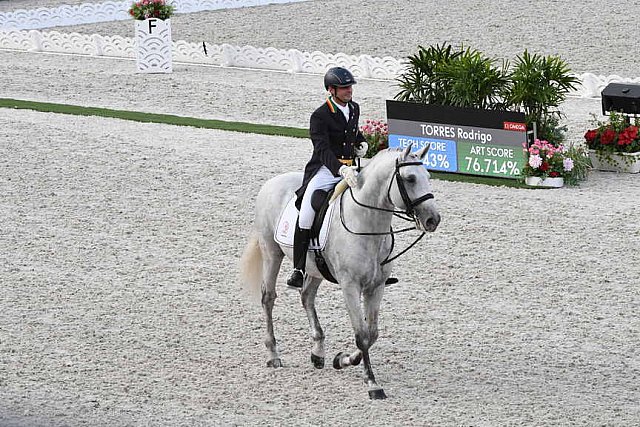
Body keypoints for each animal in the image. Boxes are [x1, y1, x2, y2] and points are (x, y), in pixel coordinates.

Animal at [239, 145, 440, 400]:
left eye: (428, 177)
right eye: (410, 178)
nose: (433, 219)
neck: (367, 225)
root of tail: (272, 182)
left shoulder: (377, 287)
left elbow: (372, 333)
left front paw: (342, 360)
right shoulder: (350, 286)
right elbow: (362, 335)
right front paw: (372, 383)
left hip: (315, 268)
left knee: (307, 296)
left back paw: (318, 353)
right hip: (272, 253)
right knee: (268, 298)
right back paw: (274, 355)